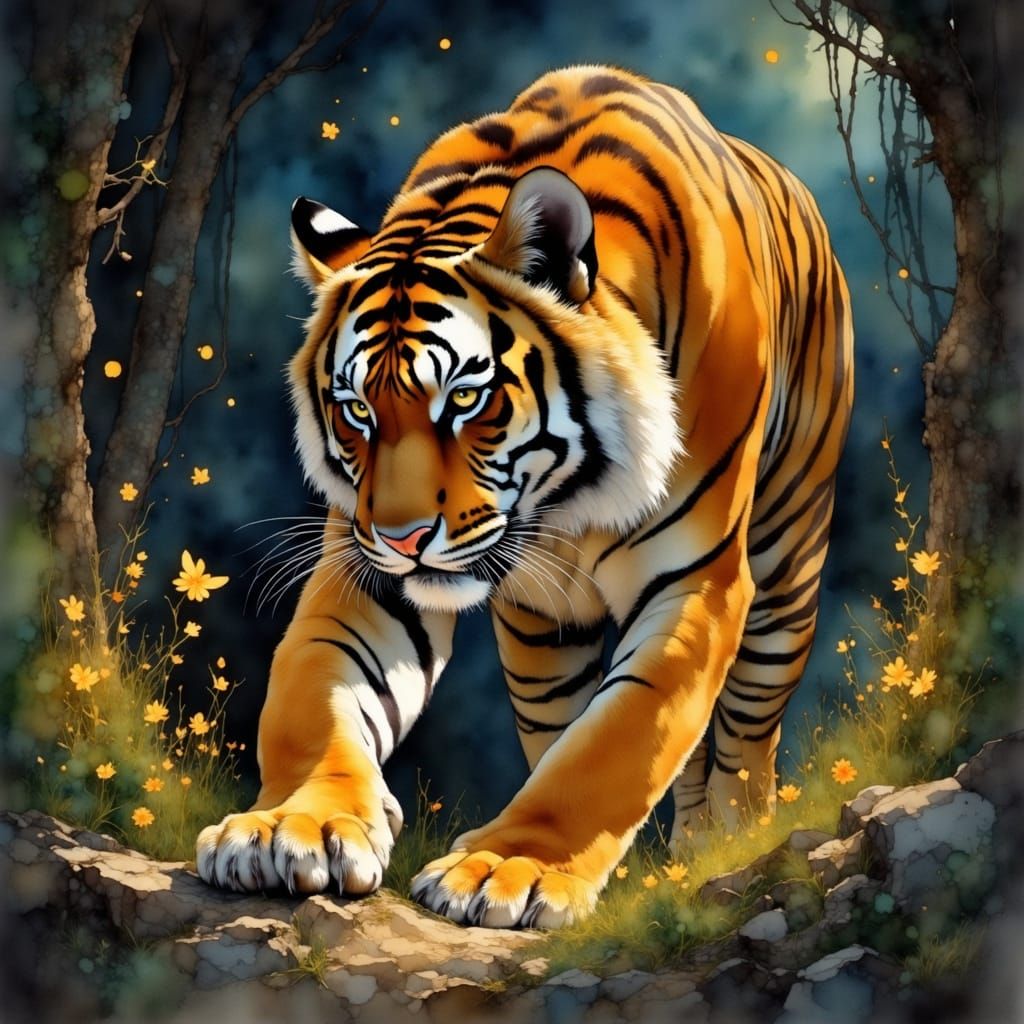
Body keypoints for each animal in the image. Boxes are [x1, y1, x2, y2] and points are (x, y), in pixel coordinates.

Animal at [197, 65, 853, 929]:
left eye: (464, 399)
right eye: (358, 410)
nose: (404, 538)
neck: (566, 498)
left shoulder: (697, 583)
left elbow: (617, 744)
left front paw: (509, 870)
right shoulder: (369, 576)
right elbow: (314, 697)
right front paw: (289, 827)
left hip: (788, 564)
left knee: (746, 731)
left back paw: (724, 843)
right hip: (543, 635)